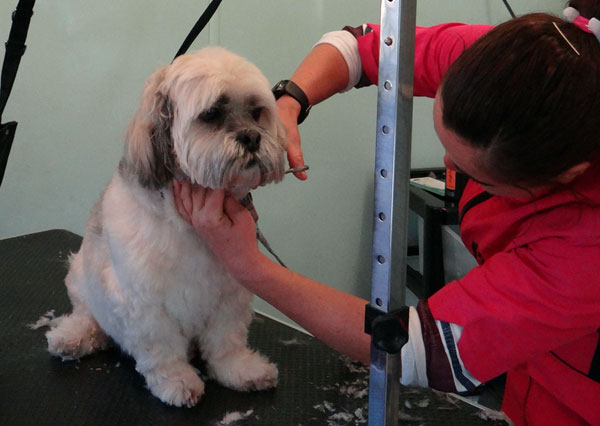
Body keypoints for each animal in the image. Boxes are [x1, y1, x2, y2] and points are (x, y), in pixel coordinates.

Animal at [42, 45, 286, 406]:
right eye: (211, 113)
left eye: (257, 112)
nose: (252, 137)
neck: (186, 225)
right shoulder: (144, 302)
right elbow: (162, 350)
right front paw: (177, 381)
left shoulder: (230, 291)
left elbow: (226, 343)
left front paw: (240, 370)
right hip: (80, 277)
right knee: (87, 313)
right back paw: (74, 335)